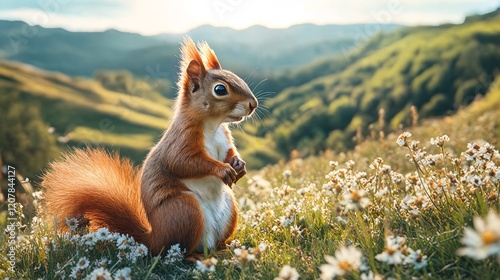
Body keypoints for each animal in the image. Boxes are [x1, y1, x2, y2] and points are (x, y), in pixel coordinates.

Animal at [41, 37, 258, 256]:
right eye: (220, 89)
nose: (253, 104)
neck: (213, 125)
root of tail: (154, 239)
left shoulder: (225, 140)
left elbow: (230, 153)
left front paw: (239, 165)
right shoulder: (181, 140)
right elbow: (183, 162)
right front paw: (222, 169)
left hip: (229, 209)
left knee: (212, 245)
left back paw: (226, 248)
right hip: (185, 211)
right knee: (183, 251)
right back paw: (196, 257)